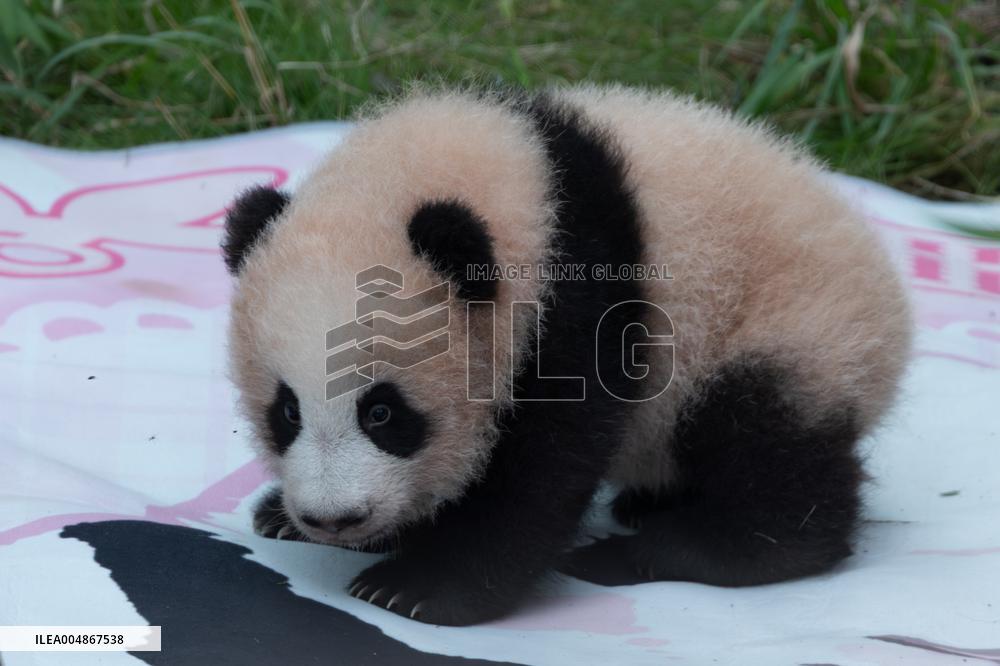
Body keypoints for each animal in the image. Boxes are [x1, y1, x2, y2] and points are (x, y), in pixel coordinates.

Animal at [223, 84, 912, 626]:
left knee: (765, 448)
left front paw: (419, 587)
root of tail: (892, 313)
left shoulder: (582, 298)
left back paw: (659, 549)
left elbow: (546, 464)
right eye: (286, 413)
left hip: (787, 329)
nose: (333, 519)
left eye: (383, 413)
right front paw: (288, 518)